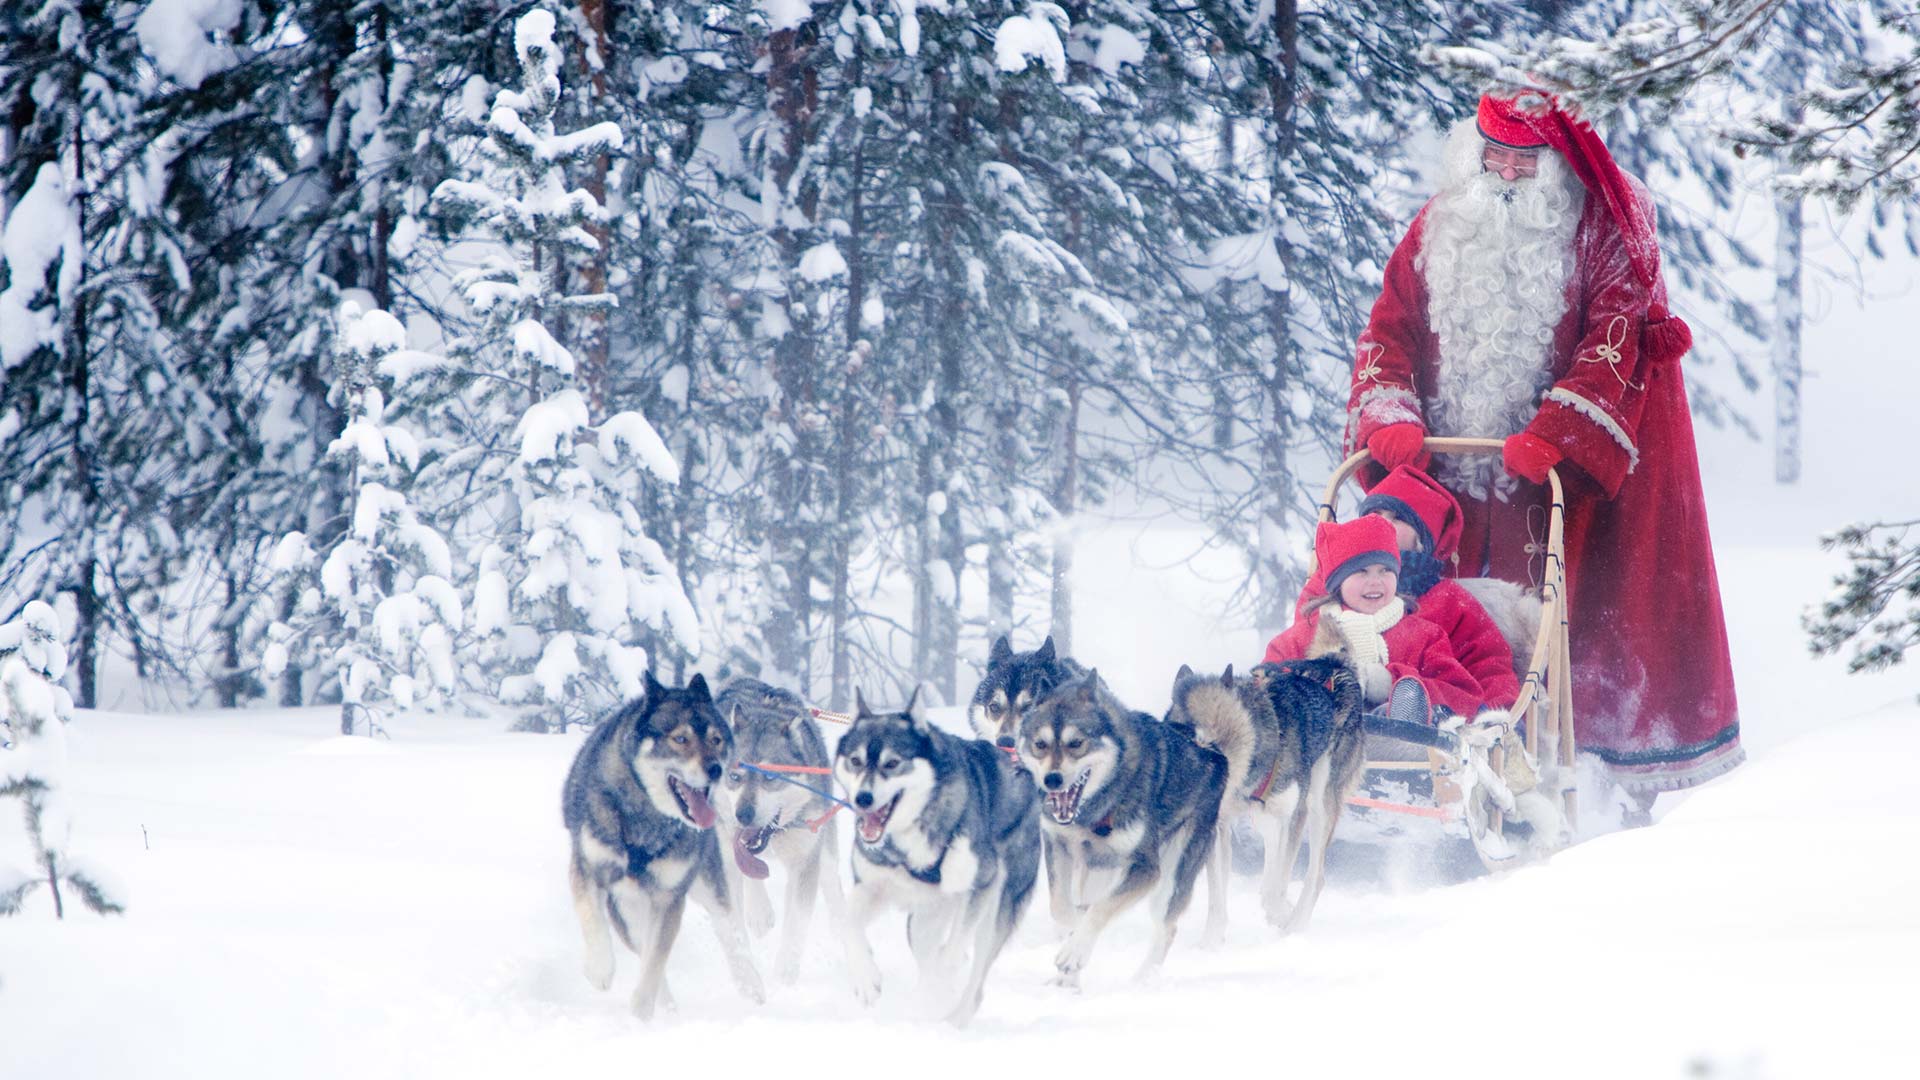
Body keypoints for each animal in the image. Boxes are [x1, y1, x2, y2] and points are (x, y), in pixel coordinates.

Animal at [560, 672, 764, 1014]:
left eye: (716, 740)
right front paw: (600, 969)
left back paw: (751, 987)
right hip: (627, 912)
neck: (647, 817)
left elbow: (655, 964)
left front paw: (641, 1013)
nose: (716, 769)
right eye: (680, 739)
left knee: (730, 933)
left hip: (707, 886)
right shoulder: (588, 869)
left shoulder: (668, 897)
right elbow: (593, 921)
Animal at [718, 676, 844, 980]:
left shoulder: (806, 861)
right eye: (734, 776)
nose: (743, 814)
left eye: (770, 777)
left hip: (825, 854)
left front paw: (786, 976)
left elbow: (796, 925)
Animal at [825, 684, 1036, 1022]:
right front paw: (865, 976)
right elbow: (845, 922)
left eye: (892, 763)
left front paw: (940, 984)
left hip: (996, 911)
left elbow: (951, 955)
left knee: (972, 977)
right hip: (923, 922)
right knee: (928, 955)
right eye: (855, 761)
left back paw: (953, 1016)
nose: (862, 798)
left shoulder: (981, 884)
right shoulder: (872, 887)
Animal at [1013, 668, 1251, 991]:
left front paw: (1074, 950)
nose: (1052, 779)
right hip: (1096, 872)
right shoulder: (1058, 846)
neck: (1094, 809)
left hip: (1172, 875)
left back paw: (1142, 981)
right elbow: (1062, 908)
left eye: (1076, 743)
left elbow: (1100, 909)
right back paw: (1069, 981)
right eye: (1040, 744)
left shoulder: (1146, 869)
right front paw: (1071, 944)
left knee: (1166, 928)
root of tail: (1214, 753)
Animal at [1167, 653, 1367, 930]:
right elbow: (1217, 900)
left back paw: (1294, 927)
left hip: (1319, 804)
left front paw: (1280, 914)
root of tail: (1332, 662)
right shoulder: (1219, 826)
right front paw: (1212, 936)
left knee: (1314, 877)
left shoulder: (1286, 817)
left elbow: (1275, 887)